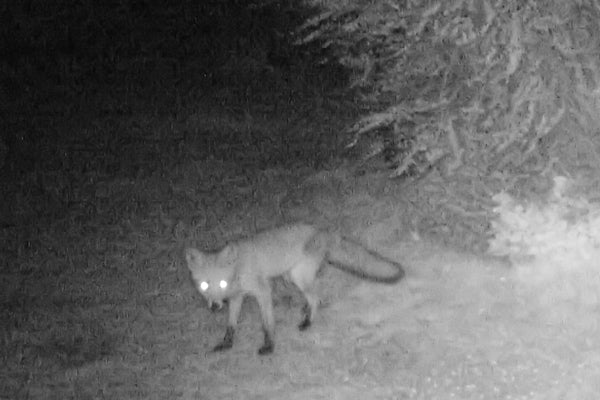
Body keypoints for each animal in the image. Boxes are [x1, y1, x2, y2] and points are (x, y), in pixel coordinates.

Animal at [185, 222, 406, 356]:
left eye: (222, 283)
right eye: (204, 285)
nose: (214, 307)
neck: (239, 270)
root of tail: (322, 230)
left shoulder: (263, 291)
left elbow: (267, 323)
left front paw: (269, 346)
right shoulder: (236, 298)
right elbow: (231, 325)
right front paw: (226, 344)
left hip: (298, 277)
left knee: (316, 298)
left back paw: (308, 322)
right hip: (292, 277)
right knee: (314, 297)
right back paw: (306, 311)